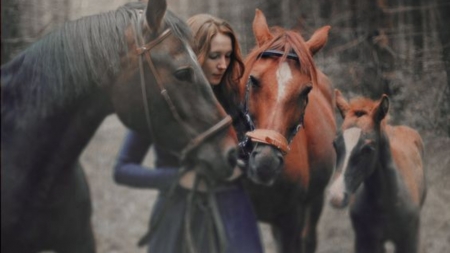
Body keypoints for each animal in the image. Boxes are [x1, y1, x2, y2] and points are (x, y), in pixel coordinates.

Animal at [326, 90, 426, 253]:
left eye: (368, 149)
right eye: (335, 144)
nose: (336, 196)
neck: (386, 203)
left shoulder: (408, 241)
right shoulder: (365, 241)